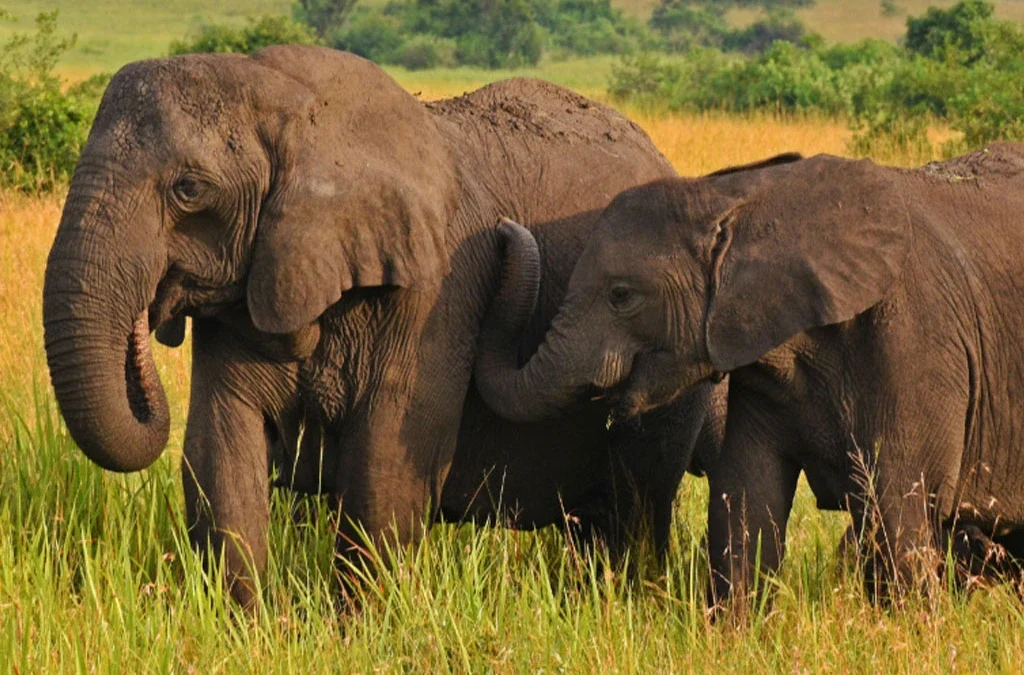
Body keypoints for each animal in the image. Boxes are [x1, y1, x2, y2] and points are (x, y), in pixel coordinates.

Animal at [43, 45, 724, 607]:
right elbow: (219, 451)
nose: (147, 321)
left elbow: (385, 465)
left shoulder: (438, 288)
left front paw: (356, 629)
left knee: (633, 509)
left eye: (187, 189)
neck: (286, 97)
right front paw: (251, 626)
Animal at [474, 143, 1024, 607]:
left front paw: (912, 637)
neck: (745, 200)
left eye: (621, 295)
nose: (503, 228)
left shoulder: (920, 340)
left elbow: (897, 510)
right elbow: (746, 500)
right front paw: (731, 636)